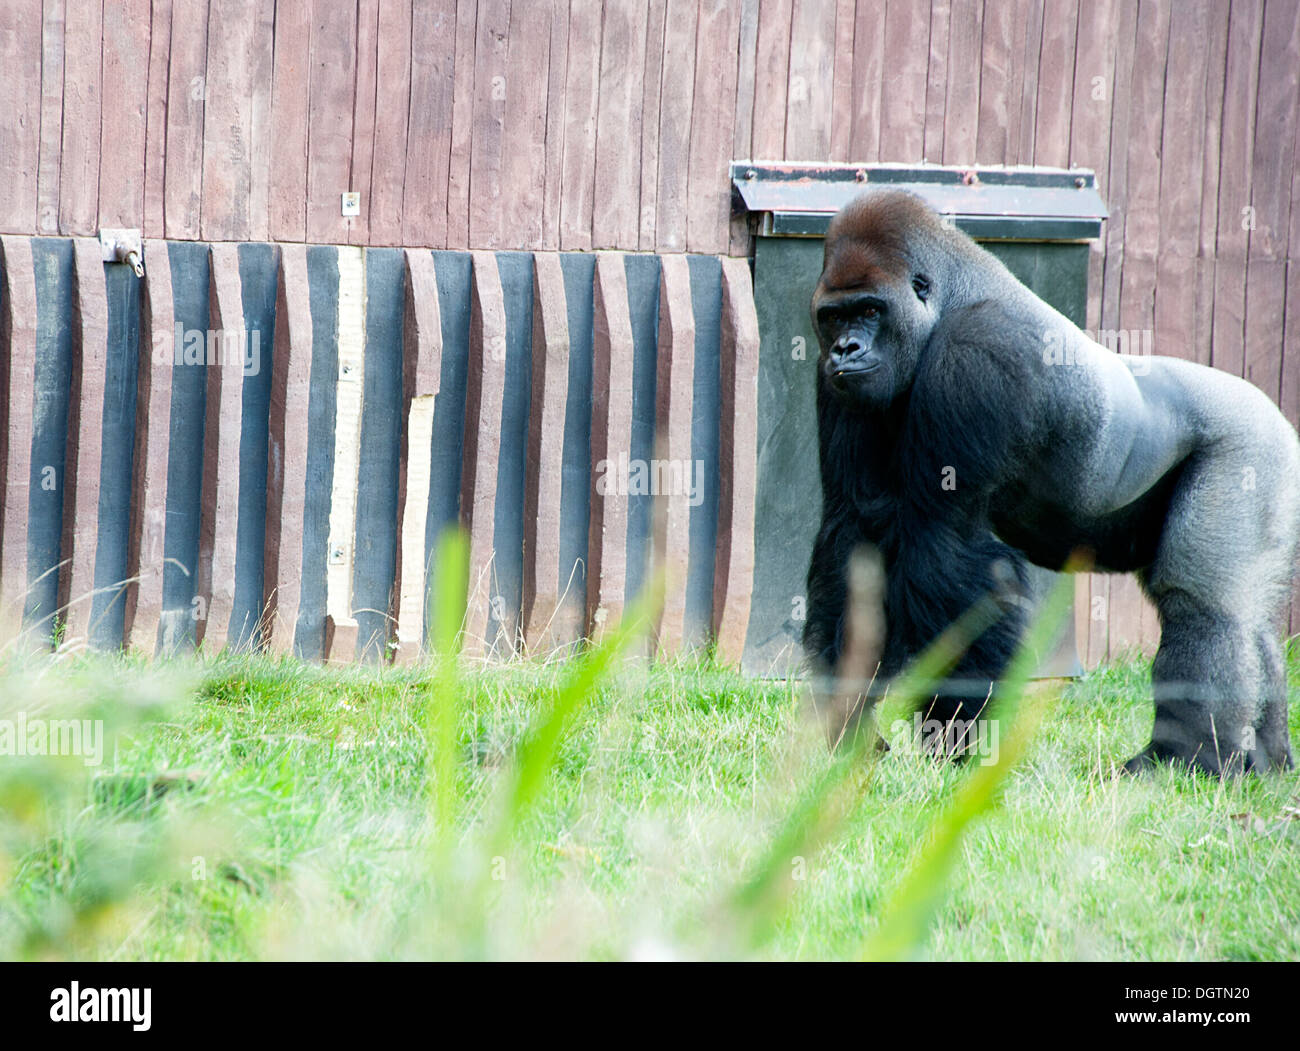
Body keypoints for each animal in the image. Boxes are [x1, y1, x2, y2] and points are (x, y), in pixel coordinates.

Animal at [806, 188, 1294, 775]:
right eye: (834, 317)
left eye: (870, 310)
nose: (845, 349)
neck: (948, 301)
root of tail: (1270, 408)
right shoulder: (837, 384)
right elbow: (855, 532)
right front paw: (849, 728)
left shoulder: (977, 353)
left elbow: (942, 549)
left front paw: (958, 739)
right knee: (1251, 620)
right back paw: (1265, 761)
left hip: (1249, 447)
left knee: (1204, 607)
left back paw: (1181, 758)